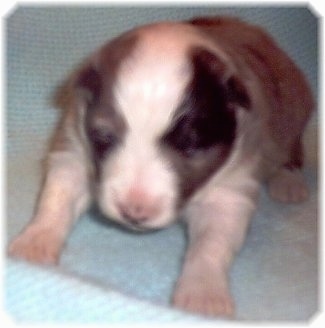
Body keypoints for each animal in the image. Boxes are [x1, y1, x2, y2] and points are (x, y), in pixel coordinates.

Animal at [8, 16, 312, 316]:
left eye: (190, 142)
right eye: (104, 137)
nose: (134, 212)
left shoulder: (231, 186)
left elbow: (213, 242)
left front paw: (203, 295)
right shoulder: (75, 143)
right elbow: (59, 196)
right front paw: (35, 242)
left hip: (292, 107)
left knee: (293, 145)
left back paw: (289, 182)